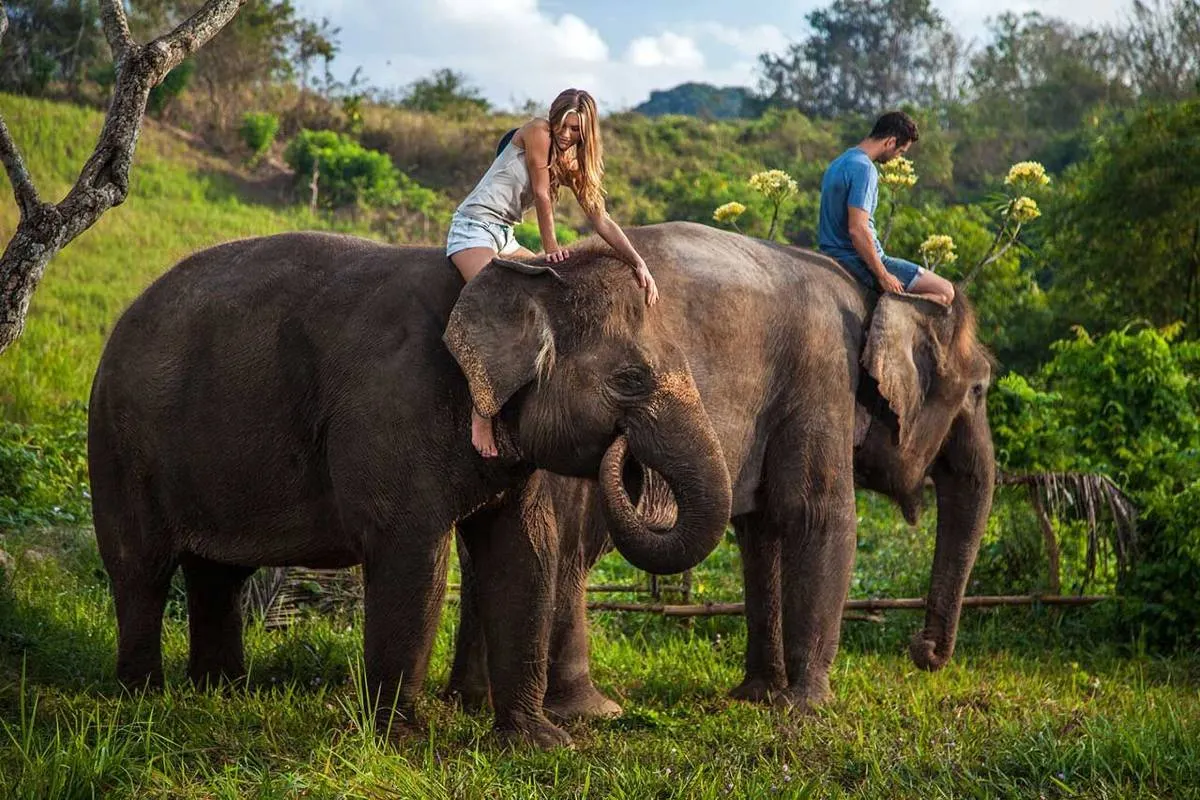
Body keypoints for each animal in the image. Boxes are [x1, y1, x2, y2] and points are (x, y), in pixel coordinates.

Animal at [87, 227, 729, 748]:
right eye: (631, 379)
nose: (628, 457)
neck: (511, 280)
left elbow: (524, 553)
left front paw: (540, 743)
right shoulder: (395, 404)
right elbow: (415, 557)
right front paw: (401, 741)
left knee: (217, 574)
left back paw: (218, 694)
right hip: (119, 446)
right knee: (140, 568)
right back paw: (144, 699)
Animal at [448, 221, 993, 714]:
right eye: (980, 389)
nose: (923, 653)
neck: (874, 293)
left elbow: (761, 530)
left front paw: (758, 696)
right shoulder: (823, 375)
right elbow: (817, 515)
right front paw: (804, 709)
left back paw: (472, 701)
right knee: (570, 548)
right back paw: (586, 710)